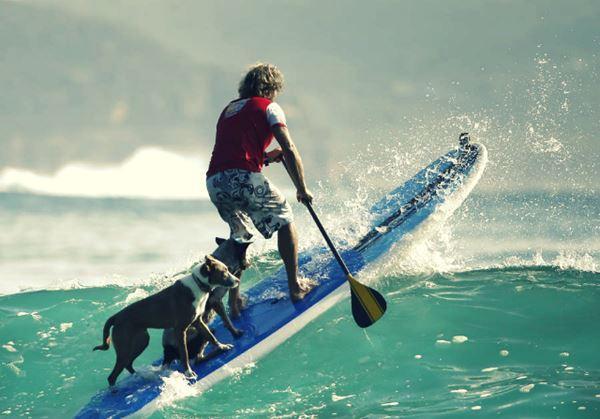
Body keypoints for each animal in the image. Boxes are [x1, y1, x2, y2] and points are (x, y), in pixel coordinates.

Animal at [93, 253, 241, 388]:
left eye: (227, 269)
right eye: (224, 272)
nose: (238, 281)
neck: (198, 284)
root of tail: (116, 316)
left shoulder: (198, 322)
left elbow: (210, 336)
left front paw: (222, 346)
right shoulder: (180, 330)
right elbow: (184, 354)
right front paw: (188, 373)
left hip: (141, 341)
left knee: (128, 364)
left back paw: (141, 376)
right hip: (126, 346)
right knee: (113, 375)